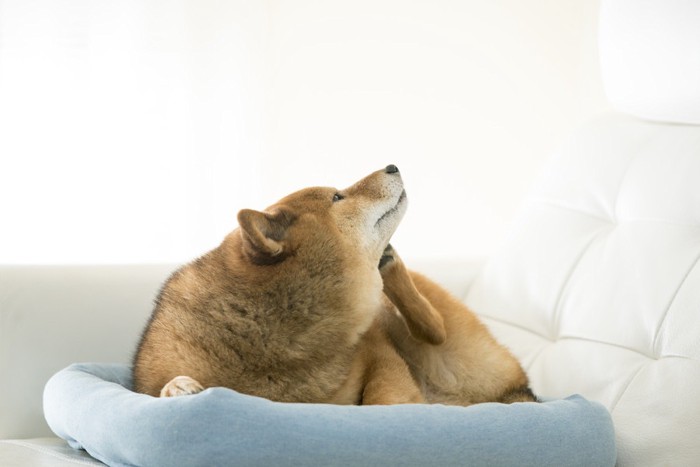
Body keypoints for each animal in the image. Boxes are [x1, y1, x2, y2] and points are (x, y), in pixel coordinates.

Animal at [133, 165, 536, 406]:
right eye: (338, 197)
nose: (392, 165)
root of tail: (518, 393)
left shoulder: (379, 350)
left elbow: (383, 396)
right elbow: (159, 389)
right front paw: (177, 389)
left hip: (449, 356)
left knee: (435, 329)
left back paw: (391, 267)